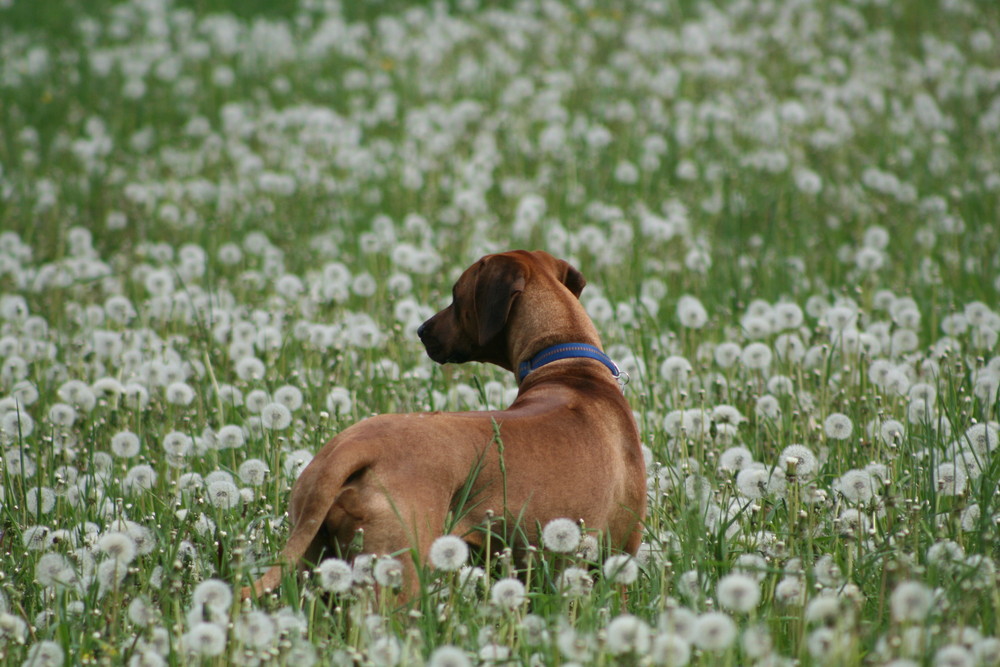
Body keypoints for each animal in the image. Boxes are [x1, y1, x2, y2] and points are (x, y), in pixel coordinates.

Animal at [243, 249, 648, 600]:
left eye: (456, 294)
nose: (422, 330)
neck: (570, 365)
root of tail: (351, 447)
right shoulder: (616, 560)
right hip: (398, 573)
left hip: (314, 559)